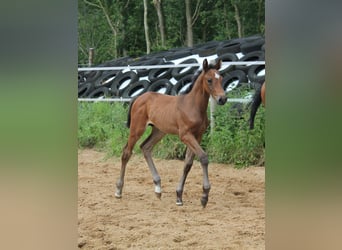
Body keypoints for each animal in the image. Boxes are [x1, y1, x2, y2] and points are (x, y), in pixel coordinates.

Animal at [115, 58, 227, 207]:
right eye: (209, 80)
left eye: (221, 78)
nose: (222, 99)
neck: (193, 106)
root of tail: (138, 98)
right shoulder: (185, 135)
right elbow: (203, 157)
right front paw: (204, 197)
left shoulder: (198, 136)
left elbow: (188, 164)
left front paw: (179, 196)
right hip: (137, 128)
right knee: (126, 152)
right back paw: (118, 190)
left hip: (159, 131)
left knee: (145, 147)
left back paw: (158, 188)